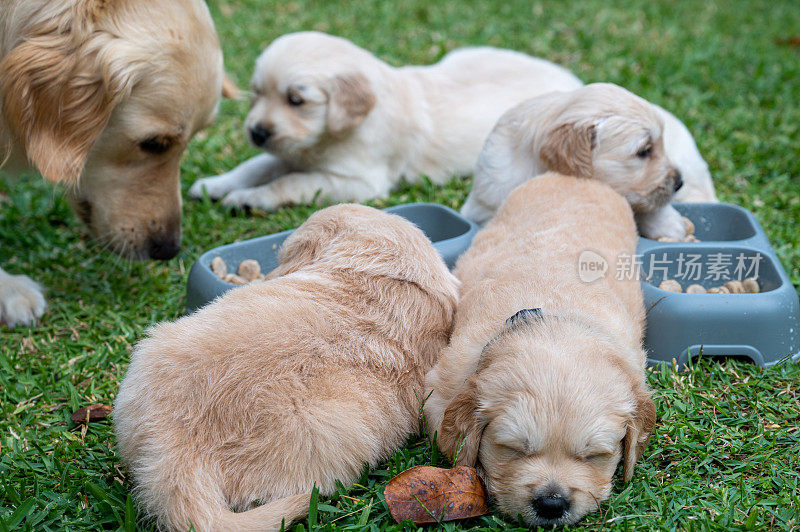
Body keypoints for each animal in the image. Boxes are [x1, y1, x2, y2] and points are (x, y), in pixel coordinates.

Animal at [191, 30, 584, 210]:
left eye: (296, 100)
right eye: (257, 93)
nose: (256, 132)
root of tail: (574, 80)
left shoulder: (358, 181)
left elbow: (291, 183)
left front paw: (249, 199)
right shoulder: (289, 152)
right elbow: (254, 166)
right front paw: (214, 185)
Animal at [424, 175, 656, 528]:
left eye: (593, 456)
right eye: (514, 449)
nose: (551, 504)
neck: (550, 320)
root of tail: (572, 177)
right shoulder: (442, 388)